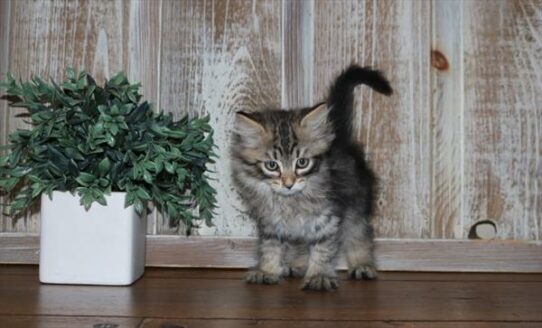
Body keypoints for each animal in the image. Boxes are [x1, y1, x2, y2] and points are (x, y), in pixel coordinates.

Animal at [232, 65, 394, 290]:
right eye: (272, 165)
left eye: (302, 163)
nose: (288, 184)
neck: (291, 202)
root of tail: (339, 140)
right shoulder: (270, 223)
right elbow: (270, 247)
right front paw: (267, 270)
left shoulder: (328, 219)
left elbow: (323, 250)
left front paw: (319, 276)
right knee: (301, 243)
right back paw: (297, 265)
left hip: (355, 207)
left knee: (359, 235)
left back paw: (362, 265)